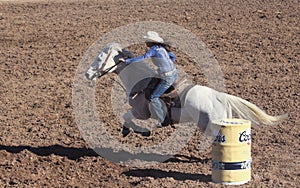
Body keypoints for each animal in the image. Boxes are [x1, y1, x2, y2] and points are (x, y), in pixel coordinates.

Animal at [85, 42, 288, 137]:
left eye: (100, 58)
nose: (87, 74)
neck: (141, 83)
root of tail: (220, 96)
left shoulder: (141, 112)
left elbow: (126, 116)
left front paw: (131, 131)